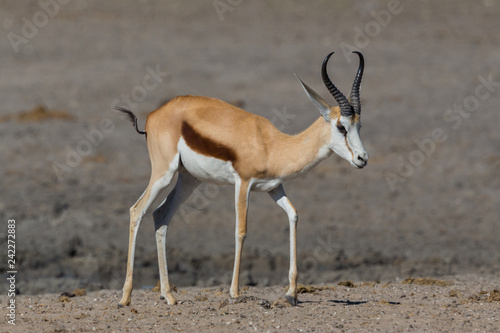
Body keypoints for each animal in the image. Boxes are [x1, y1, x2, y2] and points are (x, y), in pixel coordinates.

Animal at [116, 51, 368, 306]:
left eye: (359, 125)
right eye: (341, 127)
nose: (362, 158)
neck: (272, 146)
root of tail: (153, 116)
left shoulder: (274, 187)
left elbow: (294, 215)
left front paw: (292, 293)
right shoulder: (243, 183)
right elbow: (241, 230)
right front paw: (235, 292)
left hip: (189, 180)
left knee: (160, 214)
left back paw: (168, 295)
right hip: (164, 174)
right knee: (137, 210)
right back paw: (125, 298)